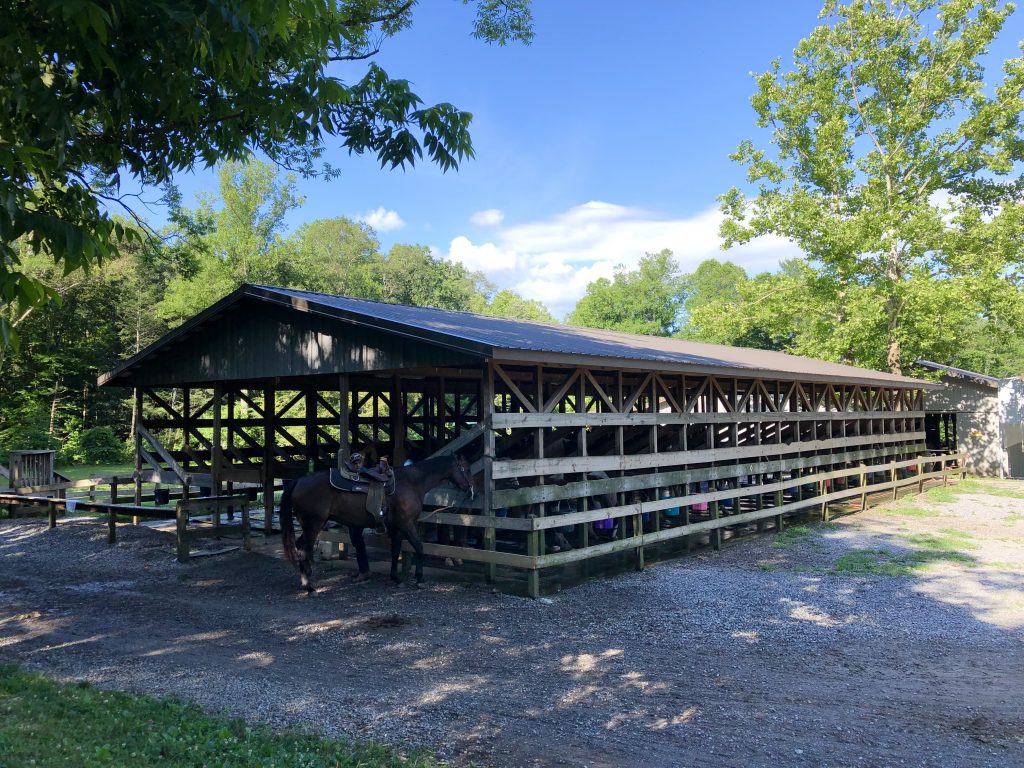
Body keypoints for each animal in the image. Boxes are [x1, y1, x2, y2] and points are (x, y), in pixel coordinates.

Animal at [278, 456, 473, 593]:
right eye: (466, 468)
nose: (470, 490)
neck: (411, 482)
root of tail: (299, 481)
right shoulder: (406, 523)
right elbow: (419, 547)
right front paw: (419, 579)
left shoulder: (396, 526)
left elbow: (395, 550)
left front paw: (396, 578)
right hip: (313, 524)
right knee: (303, 548)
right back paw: (309, 586)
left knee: (300, 546)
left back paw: (306, 582)